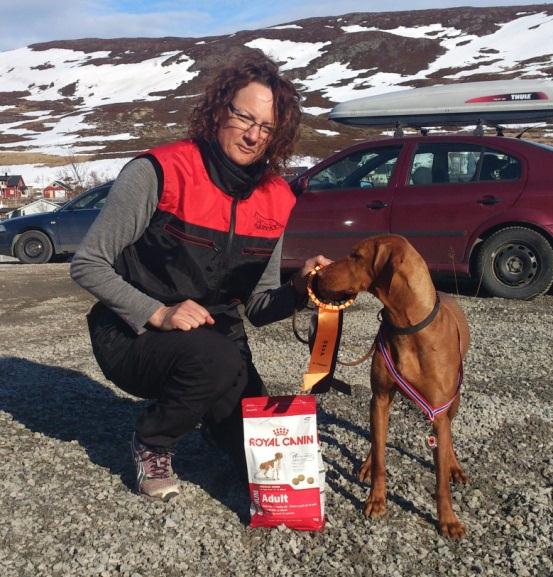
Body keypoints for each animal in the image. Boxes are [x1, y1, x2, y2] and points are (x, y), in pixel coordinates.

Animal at [316, 234, 468, 540]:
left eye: (356, 256)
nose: (320, 274)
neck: (407, 326)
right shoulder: (381, 396)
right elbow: (381, 456)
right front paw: (376, 499)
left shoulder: (439, 412)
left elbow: (440, 478)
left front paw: (448, 519)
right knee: (378, 439)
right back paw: (367, 463)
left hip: (454, 400)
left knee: (449, 439)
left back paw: (455, 467)